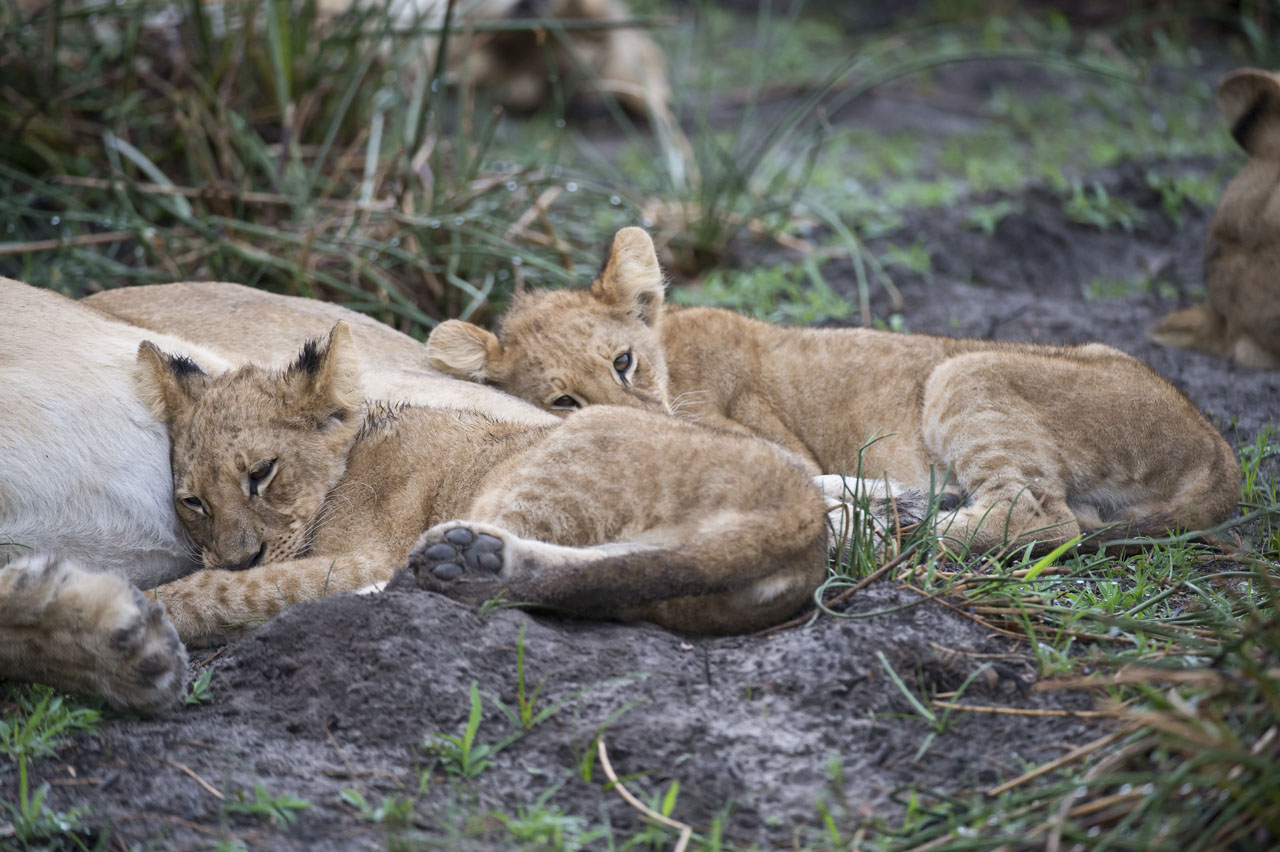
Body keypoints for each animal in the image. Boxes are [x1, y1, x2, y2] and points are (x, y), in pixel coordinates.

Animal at [425, 227, 1242, 554]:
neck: (674, 355)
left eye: (624, 362)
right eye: (562, 400)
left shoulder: (752, 433)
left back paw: (906, 528)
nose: (632, 417)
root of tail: (1218, 448)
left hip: (965, 371)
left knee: (1042, 518)